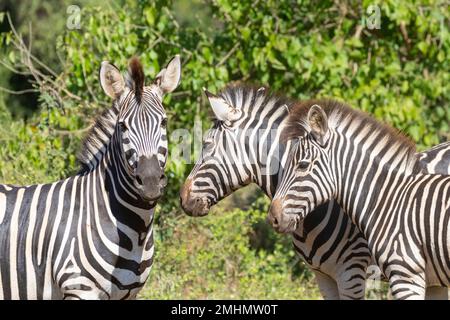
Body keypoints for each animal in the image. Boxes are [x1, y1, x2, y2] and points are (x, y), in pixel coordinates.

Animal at [0, 55, 181, 300]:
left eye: (163, 122)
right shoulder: (79, 288)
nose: (151, 182)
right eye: (122, 126)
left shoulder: (129, 294)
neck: (137, 233)